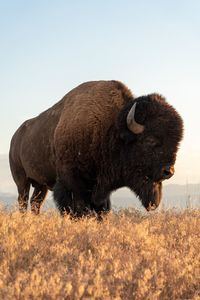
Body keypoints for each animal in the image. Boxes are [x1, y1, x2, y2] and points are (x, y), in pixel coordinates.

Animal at [10, 79, 184, 216]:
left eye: (177, 142)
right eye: (150, 140)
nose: (168, 171)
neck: (111, 128)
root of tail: (14, 138)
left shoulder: (100, 191)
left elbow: (101, 209)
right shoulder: (71, 183)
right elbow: (77, 209)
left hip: (41, 185)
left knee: (35, 203)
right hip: (21, 180)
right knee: (23, 201)